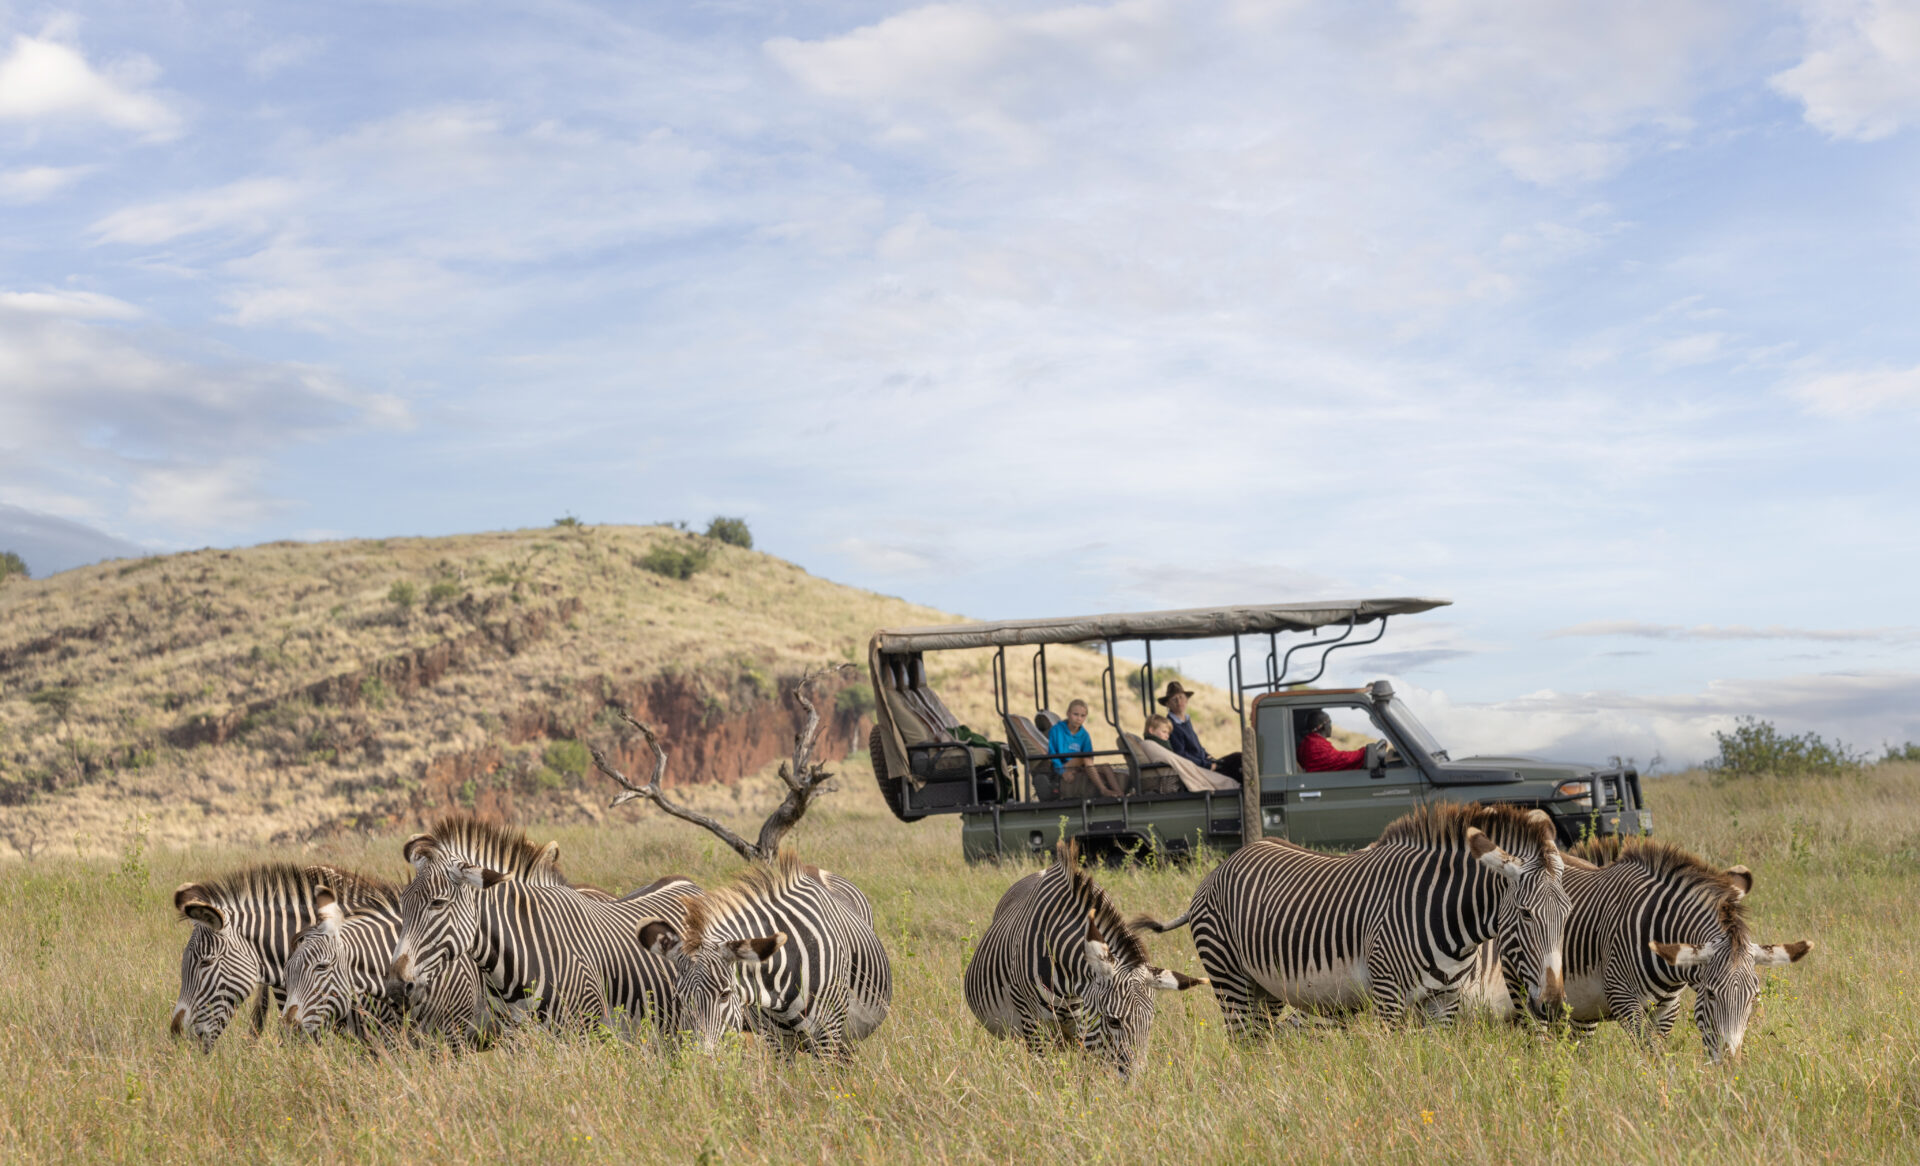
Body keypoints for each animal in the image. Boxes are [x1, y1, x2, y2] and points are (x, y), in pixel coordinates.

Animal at [964, 841, 1206, 1075]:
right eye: (1113, 1021)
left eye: (1150, 1021)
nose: (1137, 1082)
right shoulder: (1032, 1022)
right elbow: (1046, 1074)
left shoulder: (1082, 1023)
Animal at [1133, 803, 1569, 1034]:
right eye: (1526, 914)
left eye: (1566, 916)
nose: (1553, 1006)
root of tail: (1222, 866)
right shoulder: (1389, 998)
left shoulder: (1445, 1002)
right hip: (1228, 978)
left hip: (1265, 987)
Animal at [1471, 836, 1812, 1062]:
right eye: (1711, 994)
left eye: (1754, 998)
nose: (1729, 1066)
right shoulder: (1624, 1000)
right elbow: (1651, 1058)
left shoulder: (1667, 1008)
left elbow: (1657, 1052)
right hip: (1522, 984)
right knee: (1537, 1038)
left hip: (1580, 1007)